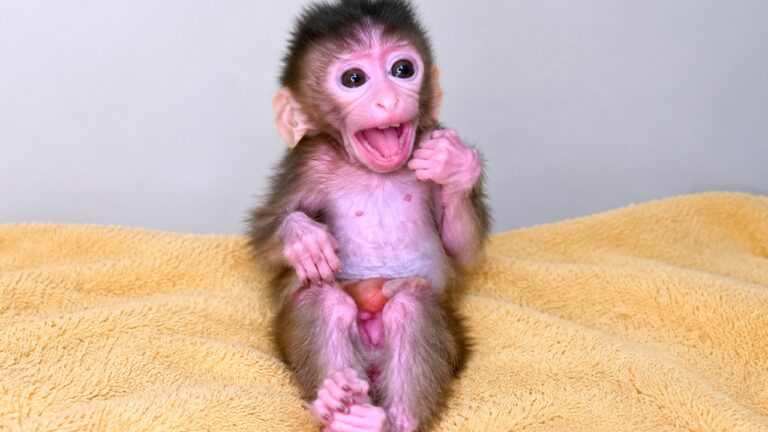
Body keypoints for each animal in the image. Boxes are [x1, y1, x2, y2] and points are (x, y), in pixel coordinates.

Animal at [247, 1, 490, 431]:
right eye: (354, 78)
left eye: (403, 69)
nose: (388, 101)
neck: (371, 172)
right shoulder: (307, 163)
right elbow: (264, 237)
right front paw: (302, 237)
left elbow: (462, 249)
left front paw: (457, 166)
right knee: (325, 302)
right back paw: (338, 405)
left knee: (411, 305)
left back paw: (384, 420)